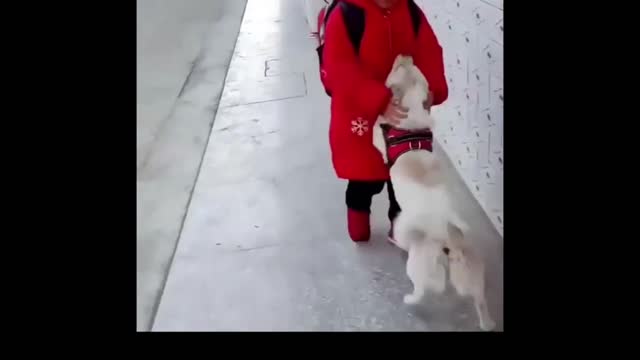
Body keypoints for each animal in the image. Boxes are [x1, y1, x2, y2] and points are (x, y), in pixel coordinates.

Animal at [372, 54, 498, 332]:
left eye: (397, 67)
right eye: (413, 67)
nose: (405, 54)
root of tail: (450, 243)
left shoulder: (380, 137)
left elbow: (377, 128)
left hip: (418, 267)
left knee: (424, 290)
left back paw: (410, 299)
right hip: (473, 273)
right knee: (479, 299)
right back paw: (487, 321)